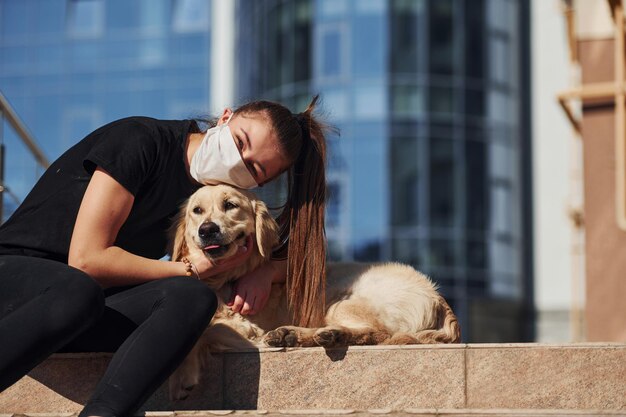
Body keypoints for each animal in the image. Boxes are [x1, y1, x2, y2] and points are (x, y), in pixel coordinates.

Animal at [166, 184, 458, 398]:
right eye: (197, 210)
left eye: (230, 205)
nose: (207, 230)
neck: (224, 280)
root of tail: (437, 295)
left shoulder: (249, 327)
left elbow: (208, 328)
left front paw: (183, 375)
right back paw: (294, 335)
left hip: (339, 299)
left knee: (377, 333)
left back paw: (318, 334)